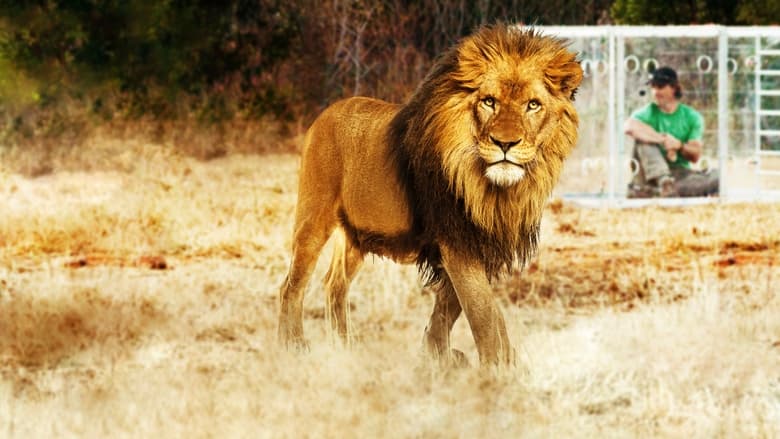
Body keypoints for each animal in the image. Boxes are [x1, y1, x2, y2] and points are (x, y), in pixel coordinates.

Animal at [278, 23, 582, 366]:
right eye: (489, 102)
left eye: (533, 105)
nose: (505, 143)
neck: (496, 191)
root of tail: (328, 111)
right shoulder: (457, 241)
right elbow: (484, 314)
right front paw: (497, 371)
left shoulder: (480, 244)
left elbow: (454, 309)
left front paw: (439, 357)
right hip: (314, 218)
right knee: (291, 286)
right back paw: (292, 348)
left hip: (357, 234)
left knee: (335, 285)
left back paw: (346, 351)